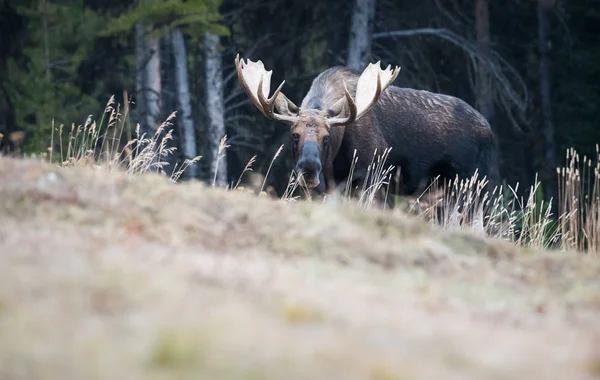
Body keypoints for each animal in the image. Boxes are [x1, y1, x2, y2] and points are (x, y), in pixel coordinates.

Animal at [232, 53, 500, 208]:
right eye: (294, 134)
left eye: (326, 137)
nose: (308, 169)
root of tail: (490, 131)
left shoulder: (373, 177)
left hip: (473, 185)